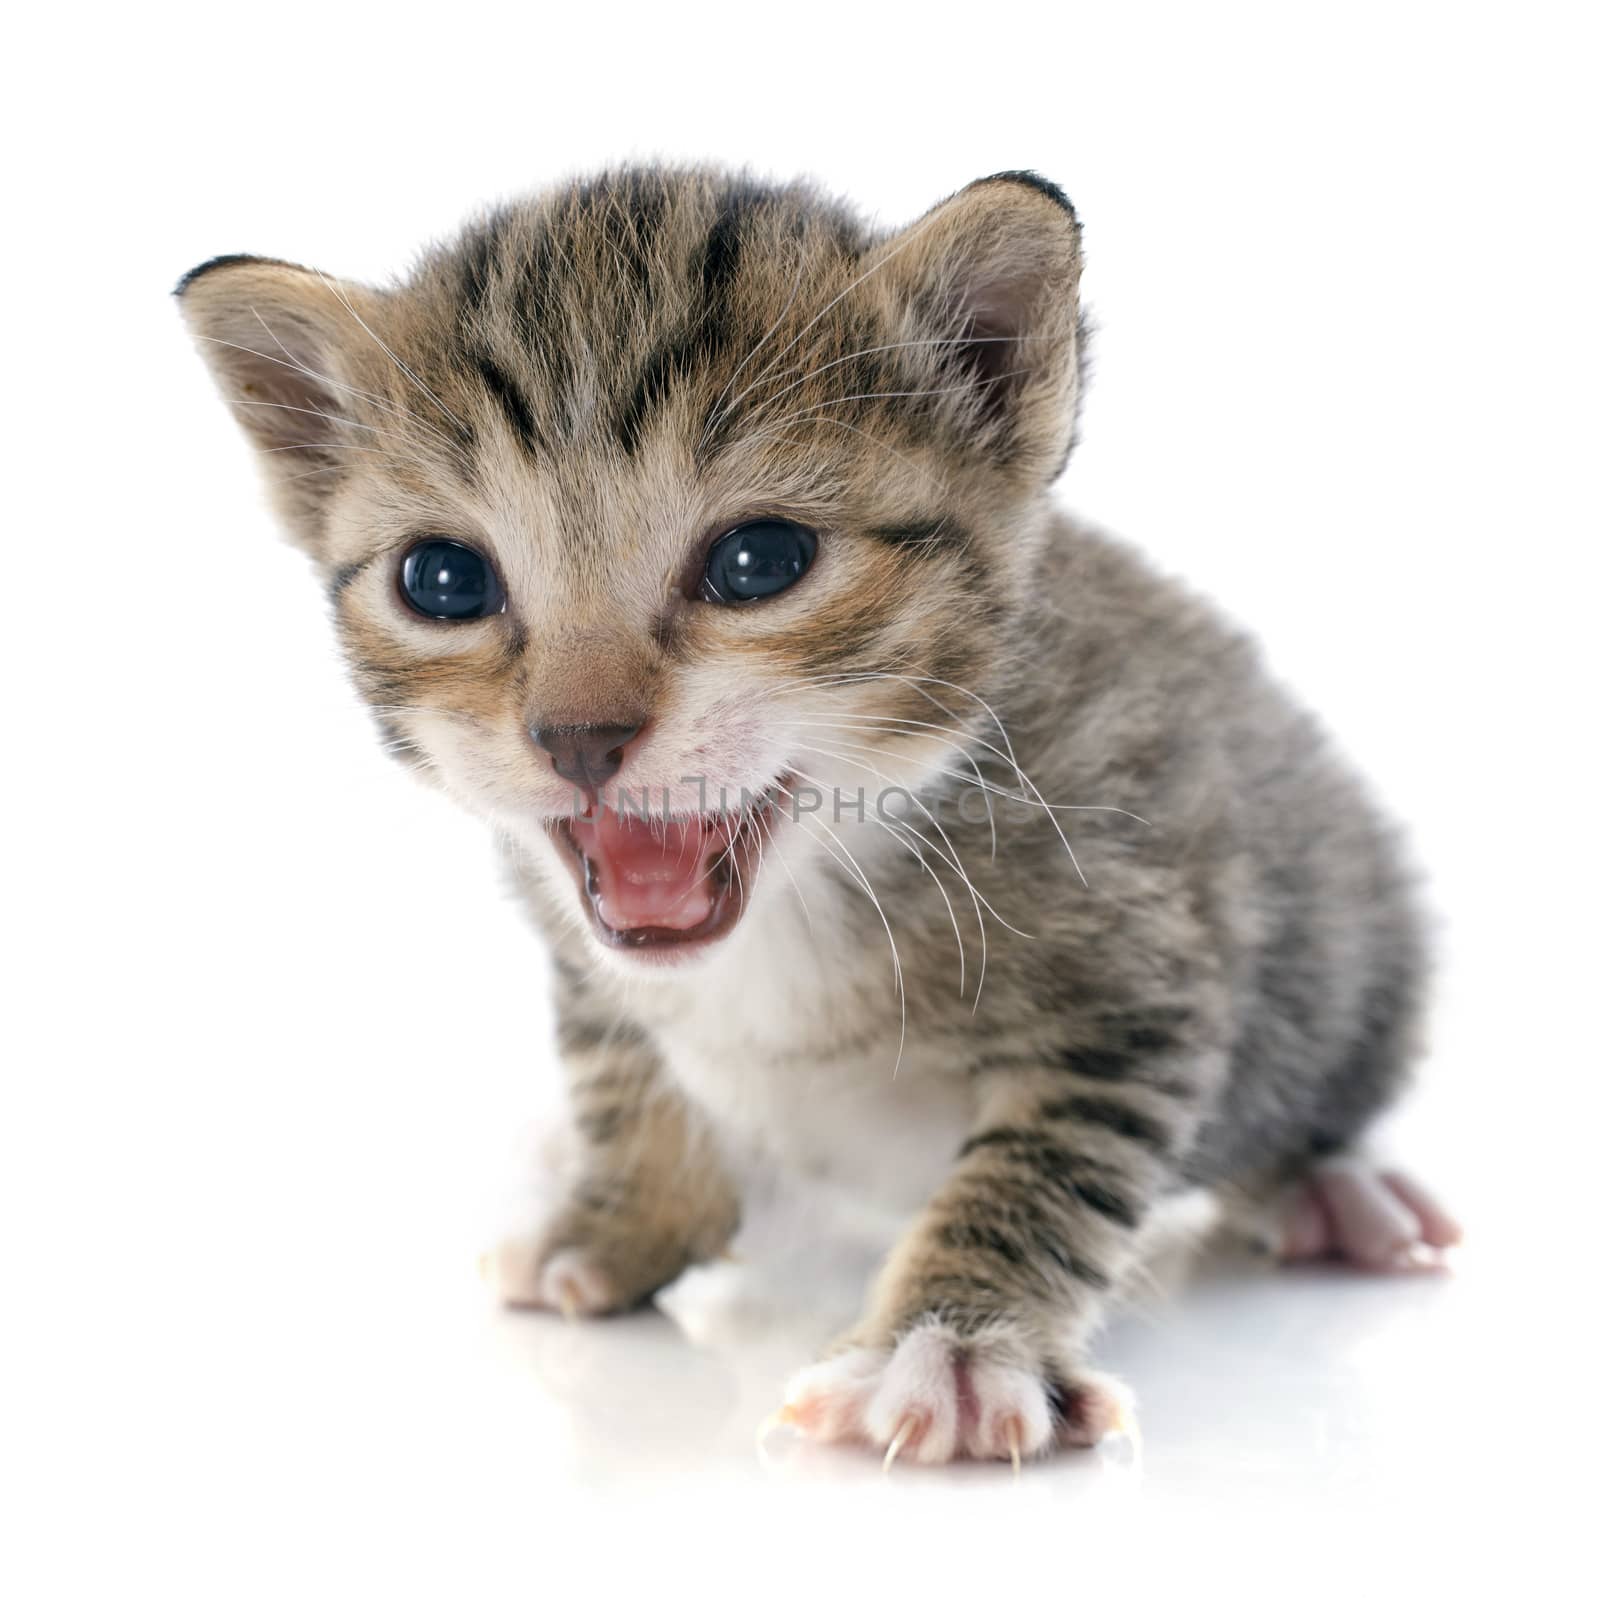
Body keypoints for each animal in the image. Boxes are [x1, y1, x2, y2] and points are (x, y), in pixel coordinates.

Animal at [181, 162, 1459, 1465]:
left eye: (759, 559)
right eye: (444, 580)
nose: (577, 737)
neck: (815, 887)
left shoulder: (1143, 952)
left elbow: (1053, 1154)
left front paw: (954, 1339)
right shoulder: (587, 953)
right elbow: (617, 1062)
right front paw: (624, 1213)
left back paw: (1330, 1185)